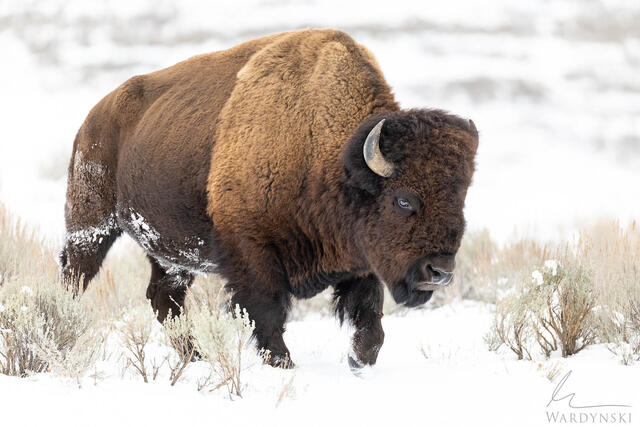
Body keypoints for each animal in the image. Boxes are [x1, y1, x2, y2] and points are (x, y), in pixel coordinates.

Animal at [60, 29, 478, 370]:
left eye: (462, 195)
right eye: (403, 201)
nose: (440, 272)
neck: (327, 154)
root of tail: (94, 117)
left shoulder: (360, 260)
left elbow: (368, 317)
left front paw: (359, 361)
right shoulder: (252, 252)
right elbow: (268, 310)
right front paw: (282, 363)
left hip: (171, 254)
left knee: (165, 298)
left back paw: (196, 357)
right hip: (90, 226)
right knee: (74, 277)